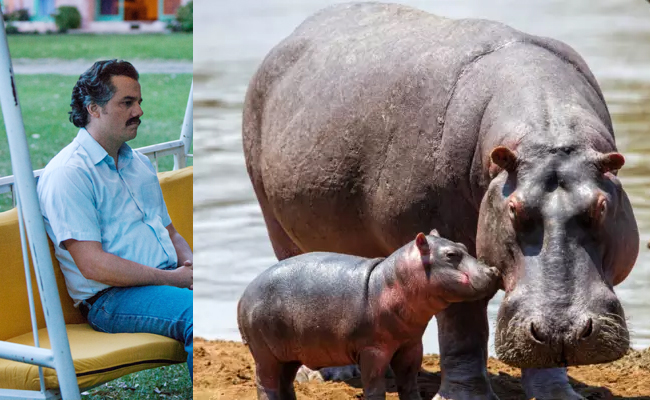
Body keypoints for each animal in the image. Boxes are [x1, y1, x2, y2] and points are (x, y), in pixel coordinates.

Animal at [238, 231, 500, 400]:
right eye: (451, 255)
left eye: (463, 246)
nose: (492, 270)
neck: (391, 281)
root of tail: (243, 296)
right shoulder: (373, 350)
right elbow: (375, 386)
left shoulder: (411, 345)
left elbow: (408, 383)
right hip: (265, 354)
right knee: (265, 384)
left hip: (289, 353)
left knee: (285, 382)